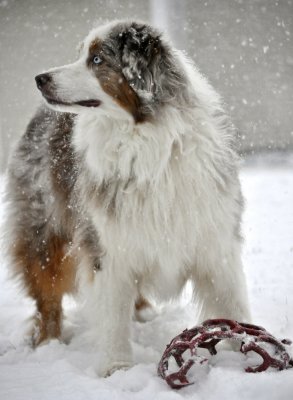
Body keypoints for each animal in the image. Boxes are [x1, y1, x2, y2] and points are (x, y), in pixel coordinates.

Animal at [5, 18, 250, 376]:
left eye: (96, 60)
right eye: (80, 54)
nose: (40, 79)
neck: (143, 137)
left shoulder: (213, 237)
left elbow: (232, 303)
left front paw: (246, 351)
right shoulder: (106, 243)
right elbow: (112, 315)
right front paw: (117, 368)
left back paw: (144, 312)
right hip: (44, 228)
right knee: (47, 289)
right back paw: (49, 342)